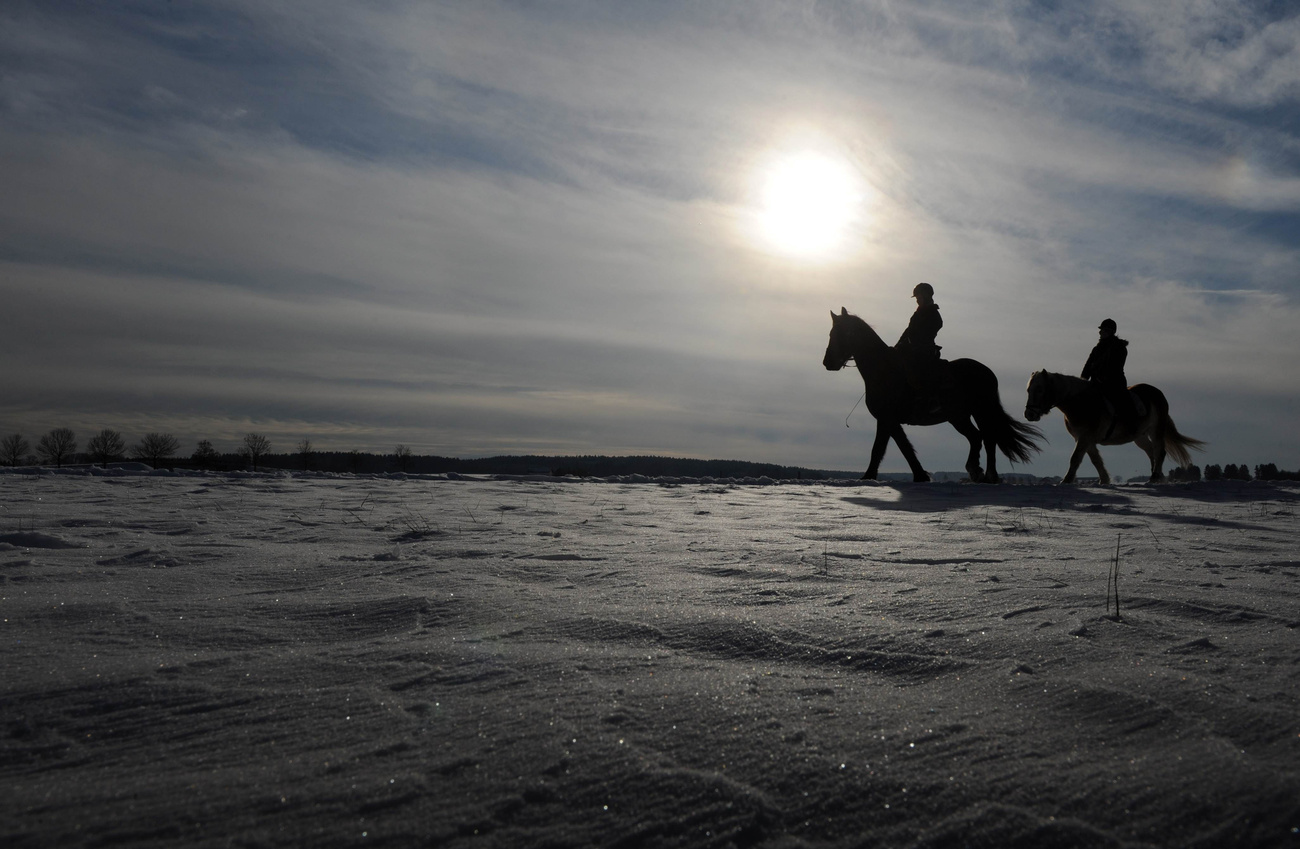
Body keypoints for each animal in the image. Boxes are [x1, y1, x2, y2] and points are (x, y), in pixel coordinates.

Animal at [821, 309, 1045, 483]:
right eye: (831, 332)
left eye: (840, 333)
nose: (827, 362)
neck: (883, 369)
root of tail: (988, 372)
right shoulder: (886, 420)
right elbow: (889, 447)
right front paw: (873, 476)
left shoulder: (888, 419)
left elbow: (891, 447)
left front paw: (916, 475)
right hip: (961, 416)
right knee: (979, 437)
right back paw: (979, 472)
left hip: (978, 412)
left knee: (987, 438)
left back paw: (987, 474)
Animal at [1019, 371, 1201, 483]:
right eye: (1028, 390)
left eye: (1040, 389)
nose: (1029, 414)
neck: (1080, 402)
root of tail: (1157, 393)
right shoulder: (1084, 439)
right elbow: (1096, 460)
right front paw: (1104, 480)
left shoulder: (1085, 437)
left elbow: (1075, 458)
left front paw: (1066, 480)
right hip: (1140, 436)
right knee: (1151, 451)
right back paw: (1155, 476)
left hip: (1156, 429)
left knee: (1159, 451)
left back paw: (1156, 476)